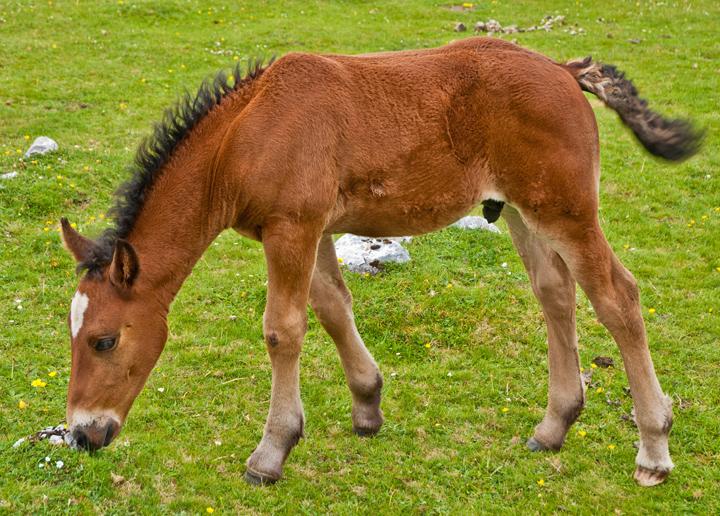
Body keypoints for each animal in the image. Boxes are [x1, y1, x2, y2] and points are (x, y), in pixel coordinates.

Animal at [59, 38, 700, 486]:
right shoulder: (311, 229)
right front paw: (367, 405)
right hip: (523, 210)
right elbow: (332, 308)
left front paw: (271, 452)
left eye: (104, 340)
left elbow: (282, 330)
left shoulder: (291, 228)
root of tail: (565, 71)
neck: (244, 133)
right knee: (555, 292)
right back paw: (555, 425)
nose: (84, 435)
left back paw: (654, 449)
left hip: (566, 211)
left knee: (618, 297)